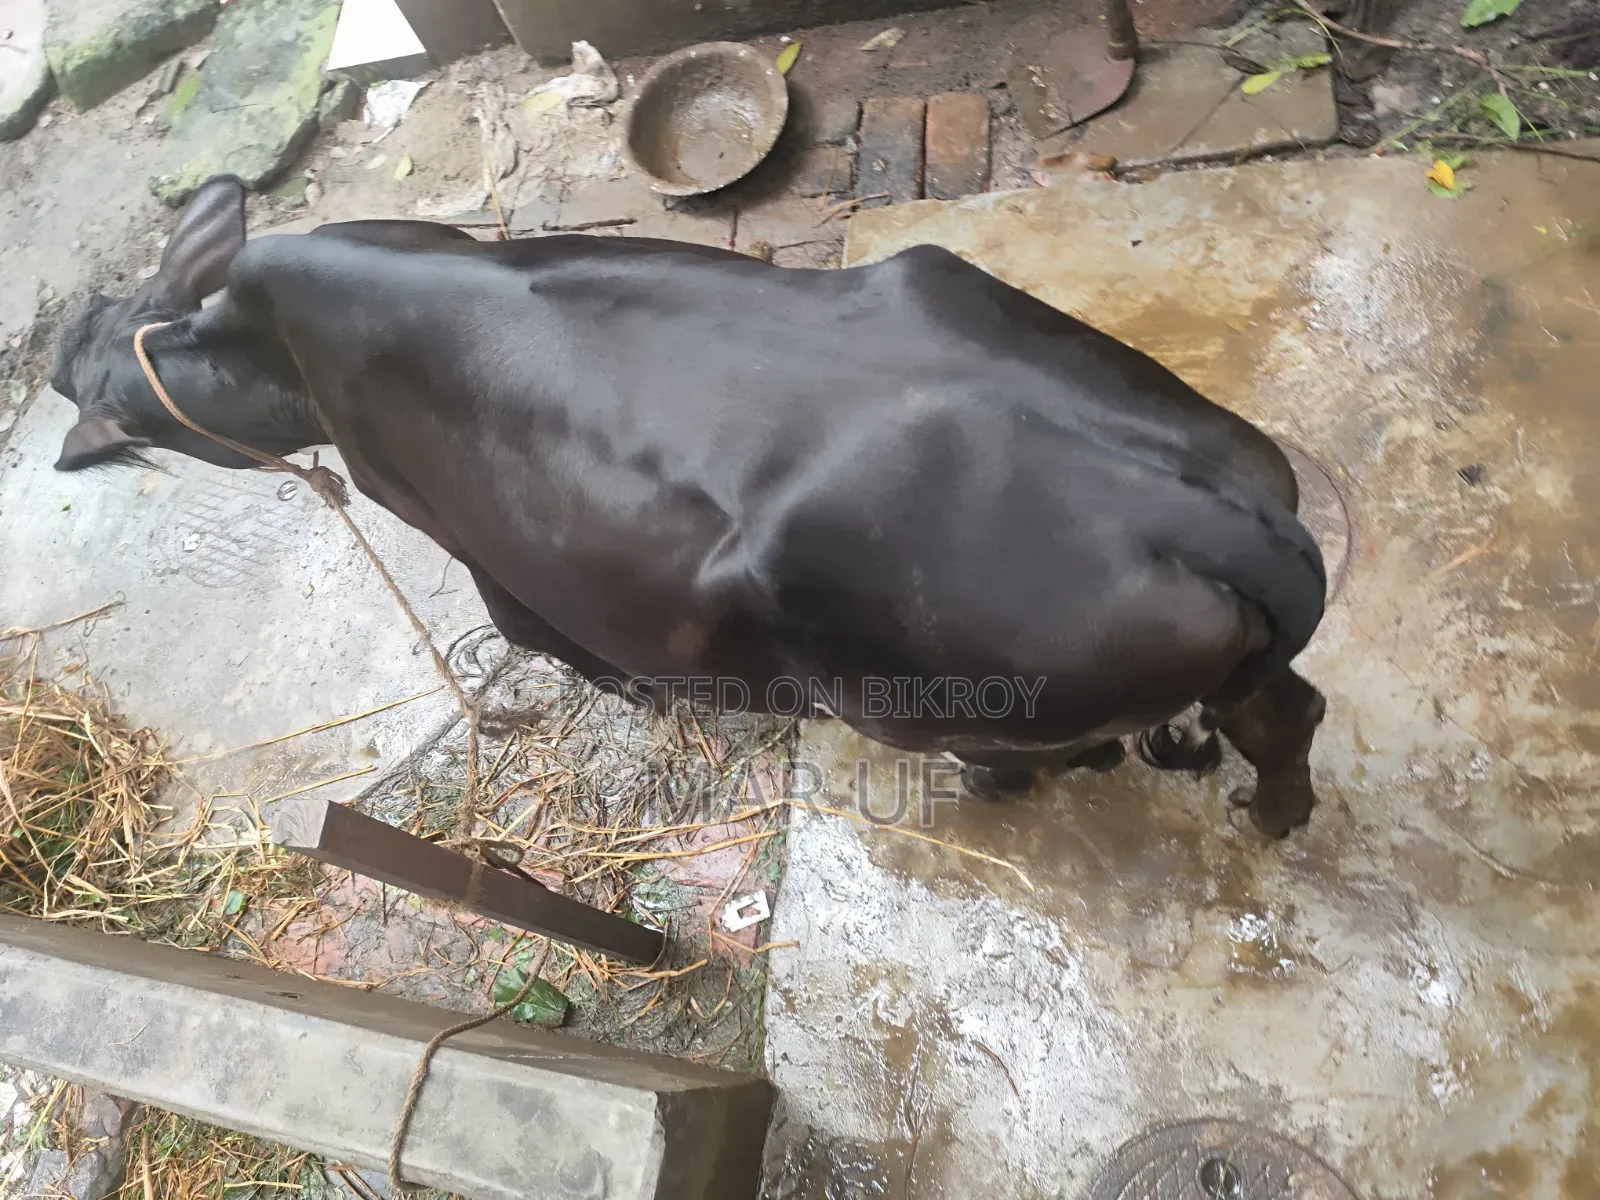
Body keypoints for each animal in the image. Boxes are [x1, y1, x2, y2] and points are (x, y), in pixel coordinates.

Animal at [47, 175, 1327, 836]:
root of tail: (1202, 511)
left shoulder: (460, 532)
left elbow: (533, 631)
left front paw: (631, 690)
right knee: (1287, 715)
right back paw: (1274, 816)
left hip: (924, 700)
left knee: (1044, 757)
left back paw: (1001, 787)